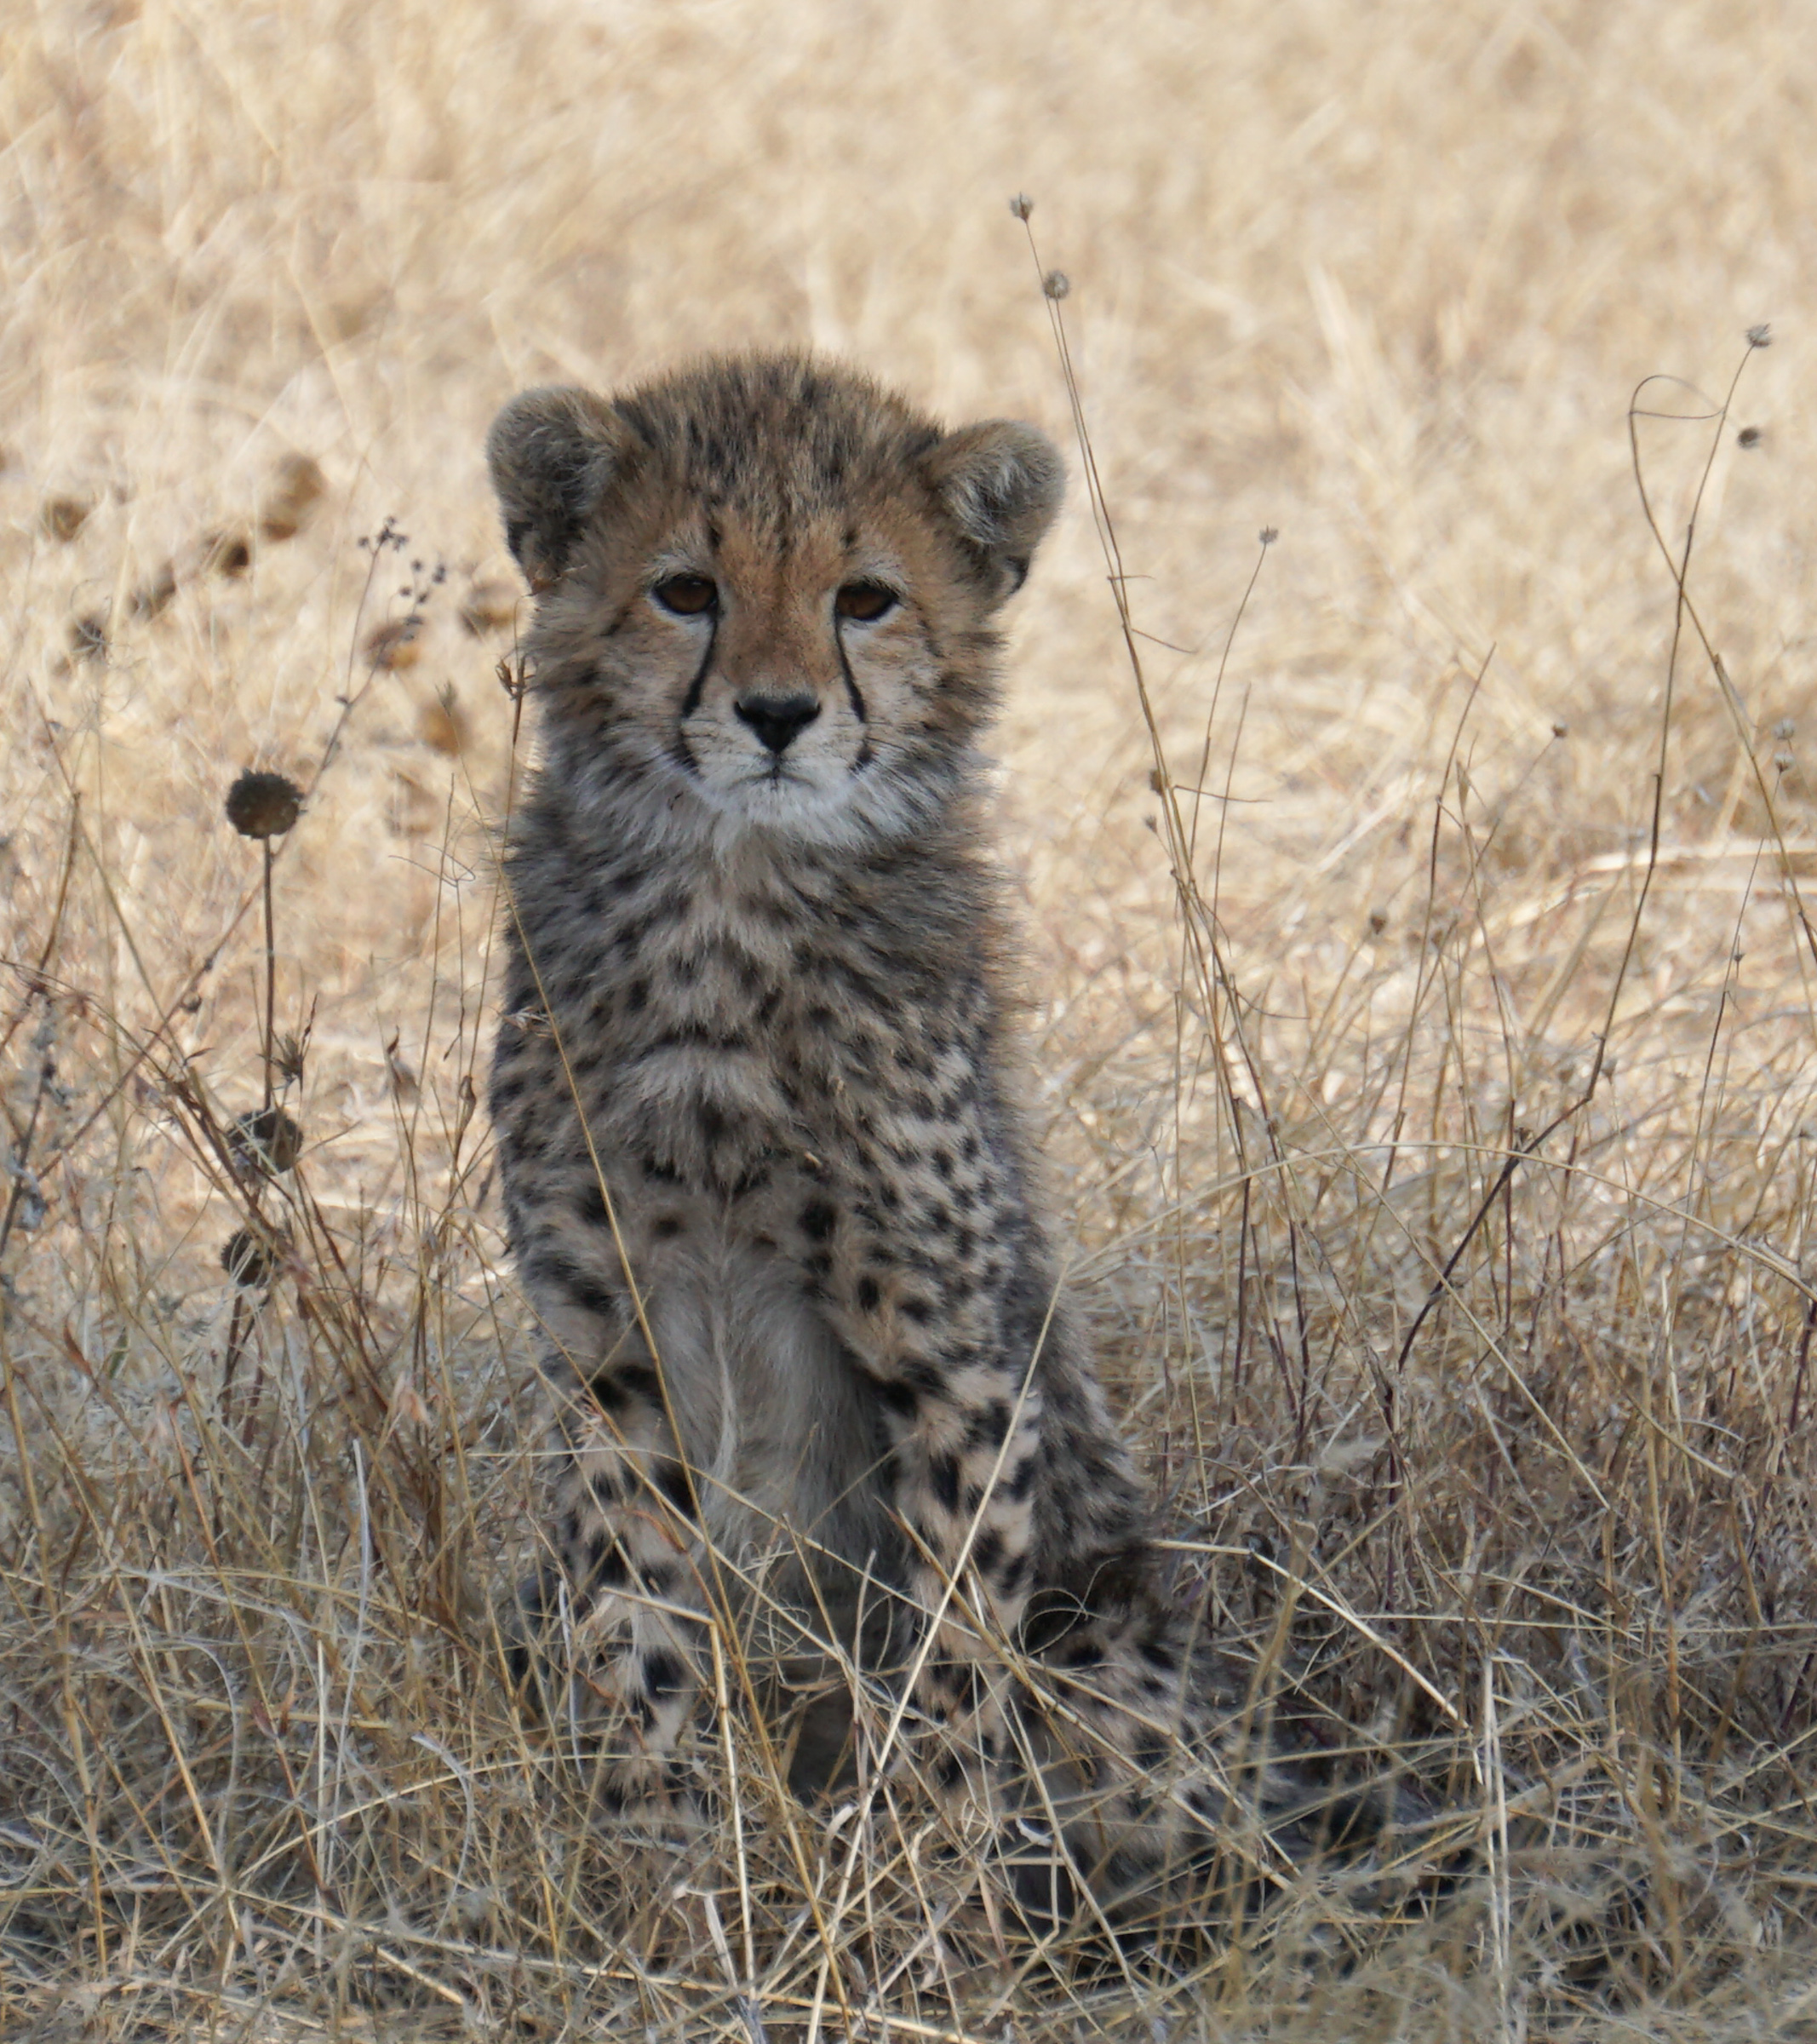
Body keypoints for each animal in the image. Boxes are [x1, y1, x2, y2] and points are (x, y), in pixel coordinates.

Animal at [484, 352, 1423, 1928]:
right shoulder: (610, 1341)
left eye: (863, 597)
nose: (779, 715)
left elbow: (952, 1645)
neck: (729, 897)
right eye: (685, 590)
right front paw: (655, 1861)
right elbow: (633, 1609)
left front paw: (926, 1882)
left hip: (1115, 1646)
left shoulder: (945, 1342)